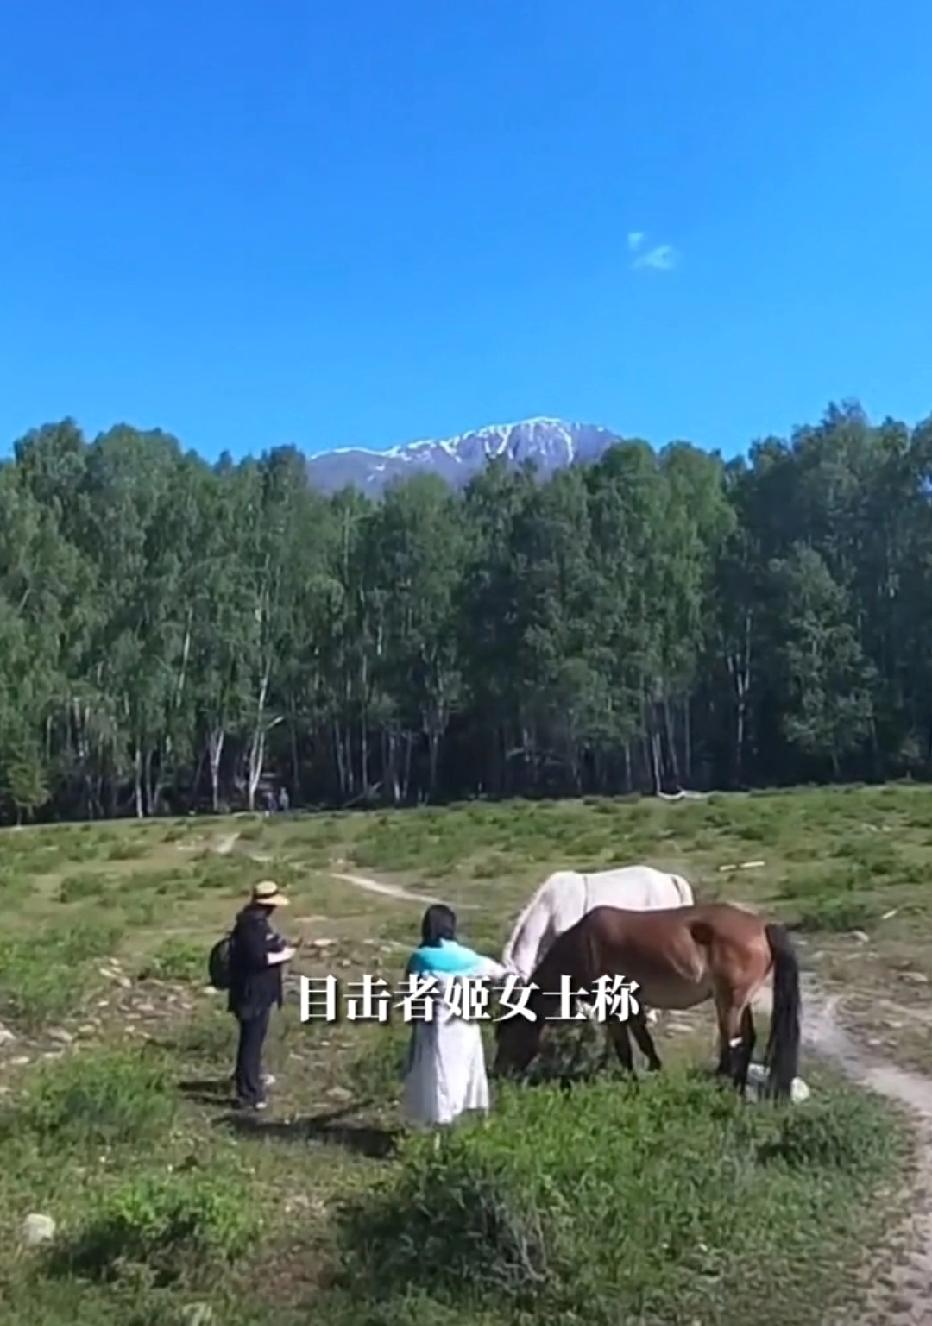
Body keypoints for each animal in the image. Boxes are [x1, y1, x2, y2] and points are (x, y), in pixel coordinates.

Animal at [493, 902, 801, 1101]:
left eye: (507, 1035)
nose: (497, 1075)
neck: (583, 946)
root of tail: (762, 926)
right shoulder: (631, 1004)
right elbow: (643, 1040)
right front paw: (655, 1071)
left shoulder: (612, 1006)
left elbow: (624, 1047)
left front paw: (630, 1081)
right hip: (740, 1001)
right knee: (747, 1039)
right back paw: (737, 1087)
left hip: (729, 1003)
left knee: (730, 1044)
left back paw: (719, 1084)